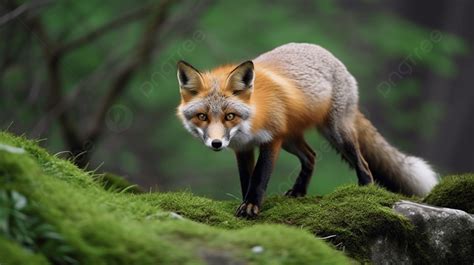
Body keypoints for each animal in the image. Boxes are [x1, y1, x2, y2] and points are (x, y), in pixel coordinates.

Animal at [176, 42, 438, 217]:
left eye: (230, 116)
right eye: (202, 117)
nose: (217, 144)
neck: (253, 118)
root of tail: (328, 54)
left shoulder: (272, 140)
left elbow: (259, 177)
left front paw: (251, 206)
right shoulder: (243, 148)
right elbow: (246, 179)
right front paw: (246, 203)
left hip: (336, 133)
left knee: (362, 163)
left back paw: (366, 190)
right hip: (292, 140)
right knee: (311, 156)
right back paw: (299, 191)